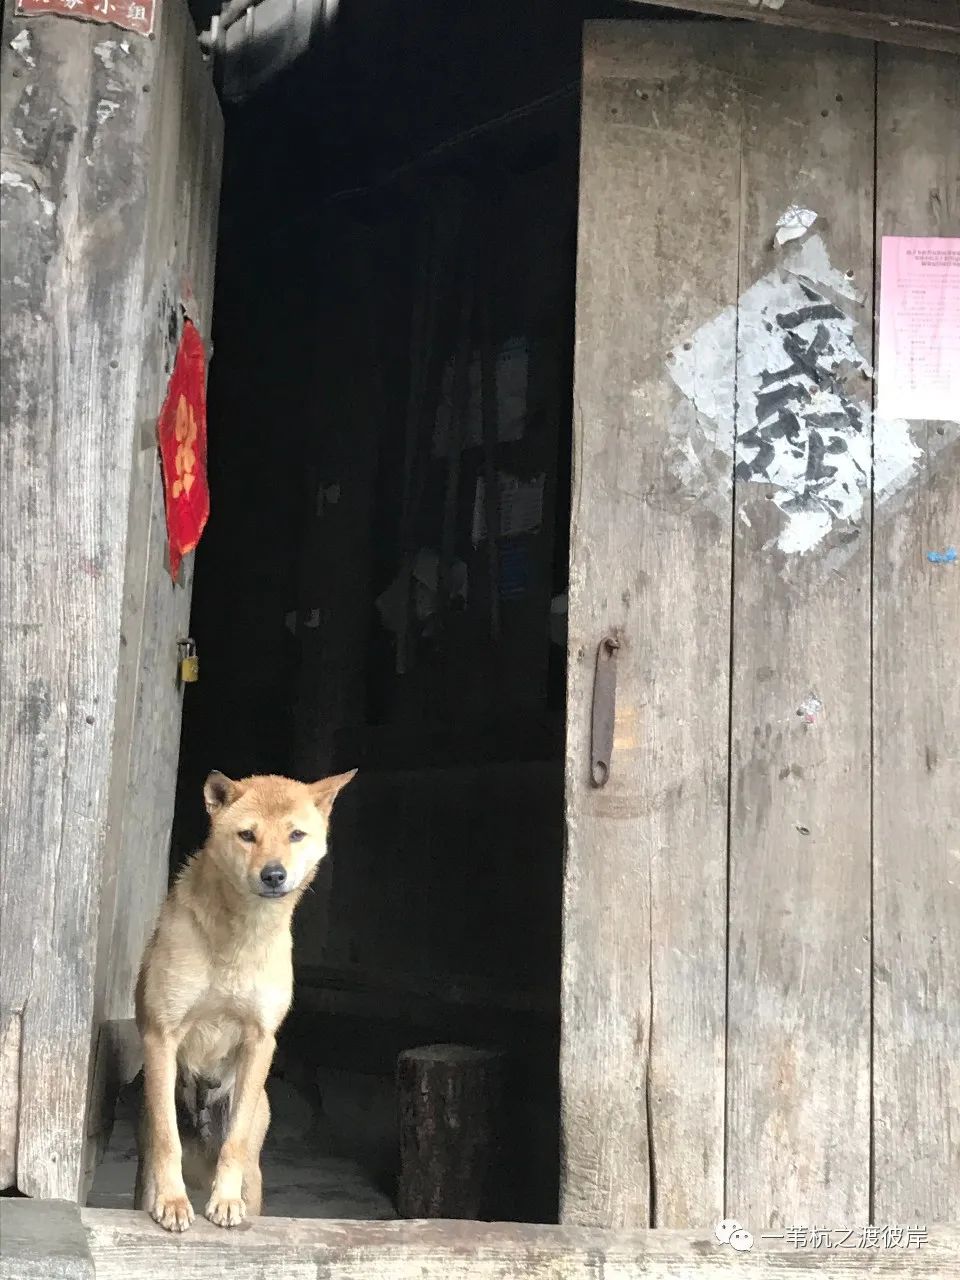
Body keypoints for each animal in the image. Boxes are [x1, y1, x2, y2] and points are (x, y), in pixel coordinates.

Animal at [135, 768, 358, 1228]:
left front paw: (224, 1201)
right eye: (247, 835)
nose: (274, 875)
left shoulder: (260, 1039)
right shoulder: (162, 1035)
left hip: (256, 1165)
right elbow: (168, 1139)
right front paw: (172, 1201)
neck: (239, 938)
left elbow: (233, 1145)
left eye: (296, 834)